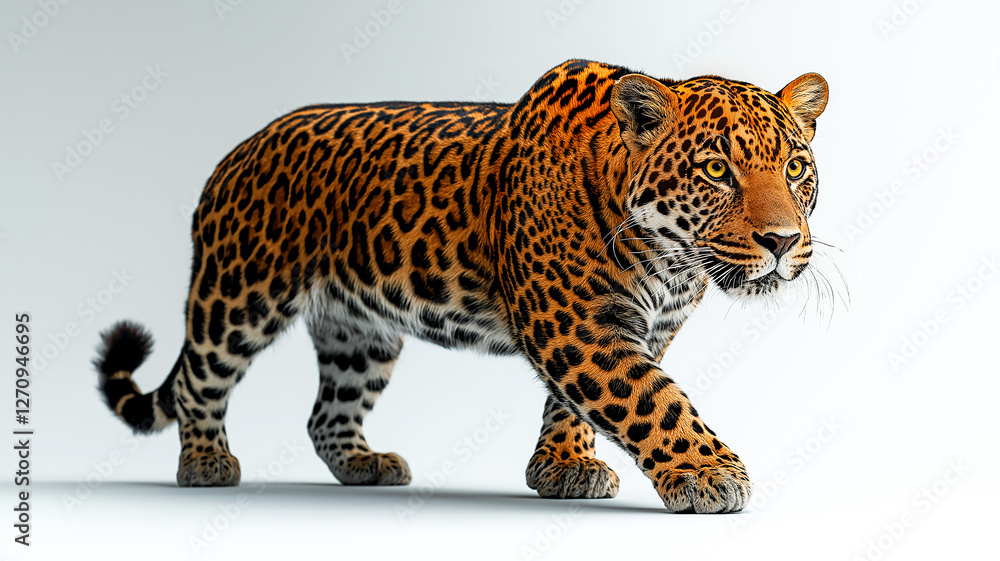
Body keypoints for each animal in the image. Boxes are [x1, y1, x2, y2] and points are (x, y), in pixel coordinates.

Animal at [93, 59, 828, 513]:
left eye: (794, 168)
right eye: (715, 170)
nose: (781, 241)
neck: (671, 259)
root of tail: (234, 151)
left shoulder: (628, 329)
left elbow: (579, 405)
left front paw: (563, 467)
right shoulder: (577, 325)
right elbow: (653, 400)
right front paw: (709, 473)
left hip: (360, 332)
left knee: (326, 412)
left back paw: (364, 464)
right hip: (238, 293)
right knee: (200, 379)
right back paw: (206, 462)